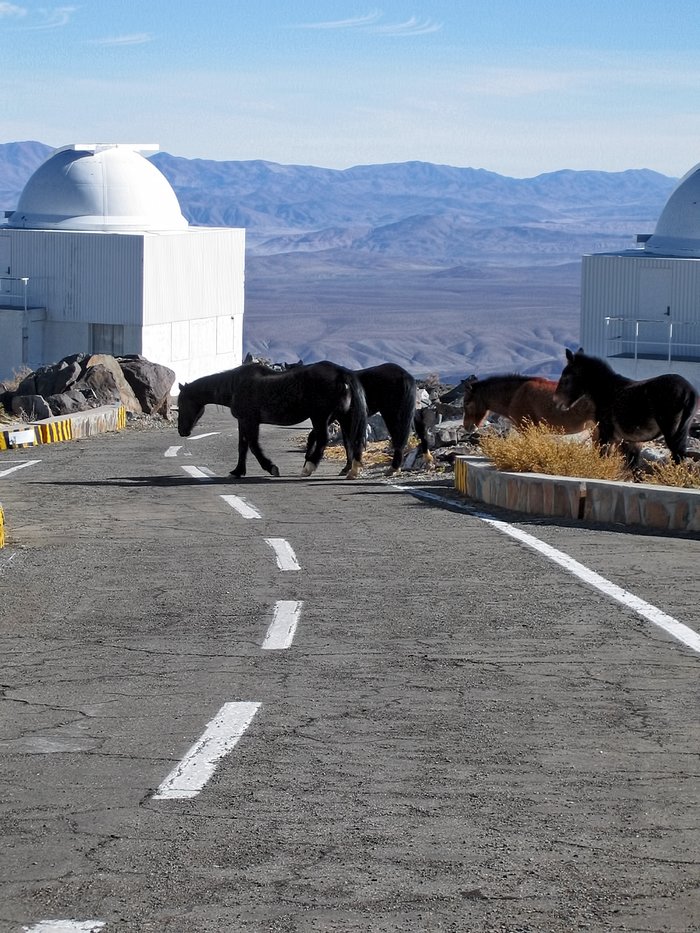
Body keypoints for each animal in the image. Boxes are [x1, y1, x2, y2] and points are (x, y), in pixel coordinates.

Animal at [178, 358, 370, 476]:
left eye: (181, 404)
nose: (182, 431)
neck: (236, 385)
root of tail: (341, 373)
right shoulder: (243, 421)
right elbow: (242, 446)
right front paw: (238, 471)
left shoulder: (250, 420)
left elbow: (253, 446)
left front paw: (270, 467)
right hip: (341, 417)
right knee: (350, 441)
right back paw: (351, 470)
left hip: (321, 417)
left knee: (323, 438)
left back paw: (308, 467)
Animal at [556, 348, 696, 464]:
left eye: (566, 378)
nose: (556, 401)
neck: (605, 390)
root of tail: (689, 391)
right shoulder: (622, 439)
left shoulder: (606, 432)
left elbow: (604, 456)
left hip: (672, 431)